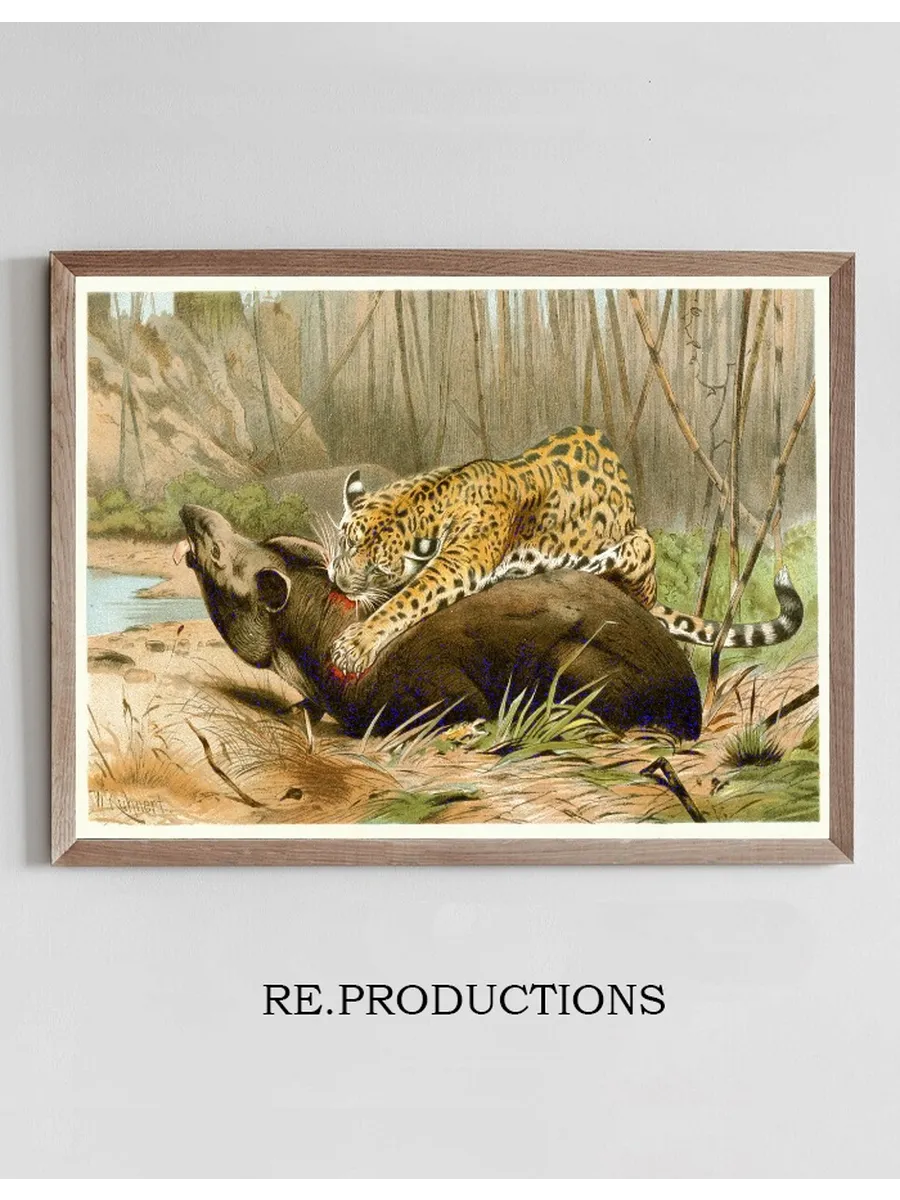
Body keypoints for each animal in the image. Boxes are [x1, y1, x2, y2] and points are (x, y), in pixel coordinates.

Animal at [325, 425, 803, 677]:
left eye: (377, 569)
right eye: (347, 540)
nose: (339, 581)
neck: (430, 494)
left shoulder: (462, 561)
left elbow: (409, 598)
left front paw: (357, 643)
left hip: (639, 547)